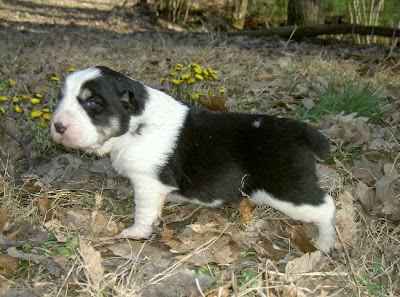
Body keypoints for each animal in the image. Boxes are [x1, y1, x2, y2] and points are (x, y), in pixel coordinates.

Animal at [51, 66, 336, 251]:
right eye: (61, 97)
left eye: (92, 103)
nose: (57, 126)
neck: (134, 122)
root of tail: (300, 129)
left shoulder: (147, 183)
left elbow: (142, 212)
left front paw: (135, 233)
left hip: (286, 189)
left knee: (326, 207)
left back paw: (324, 244)